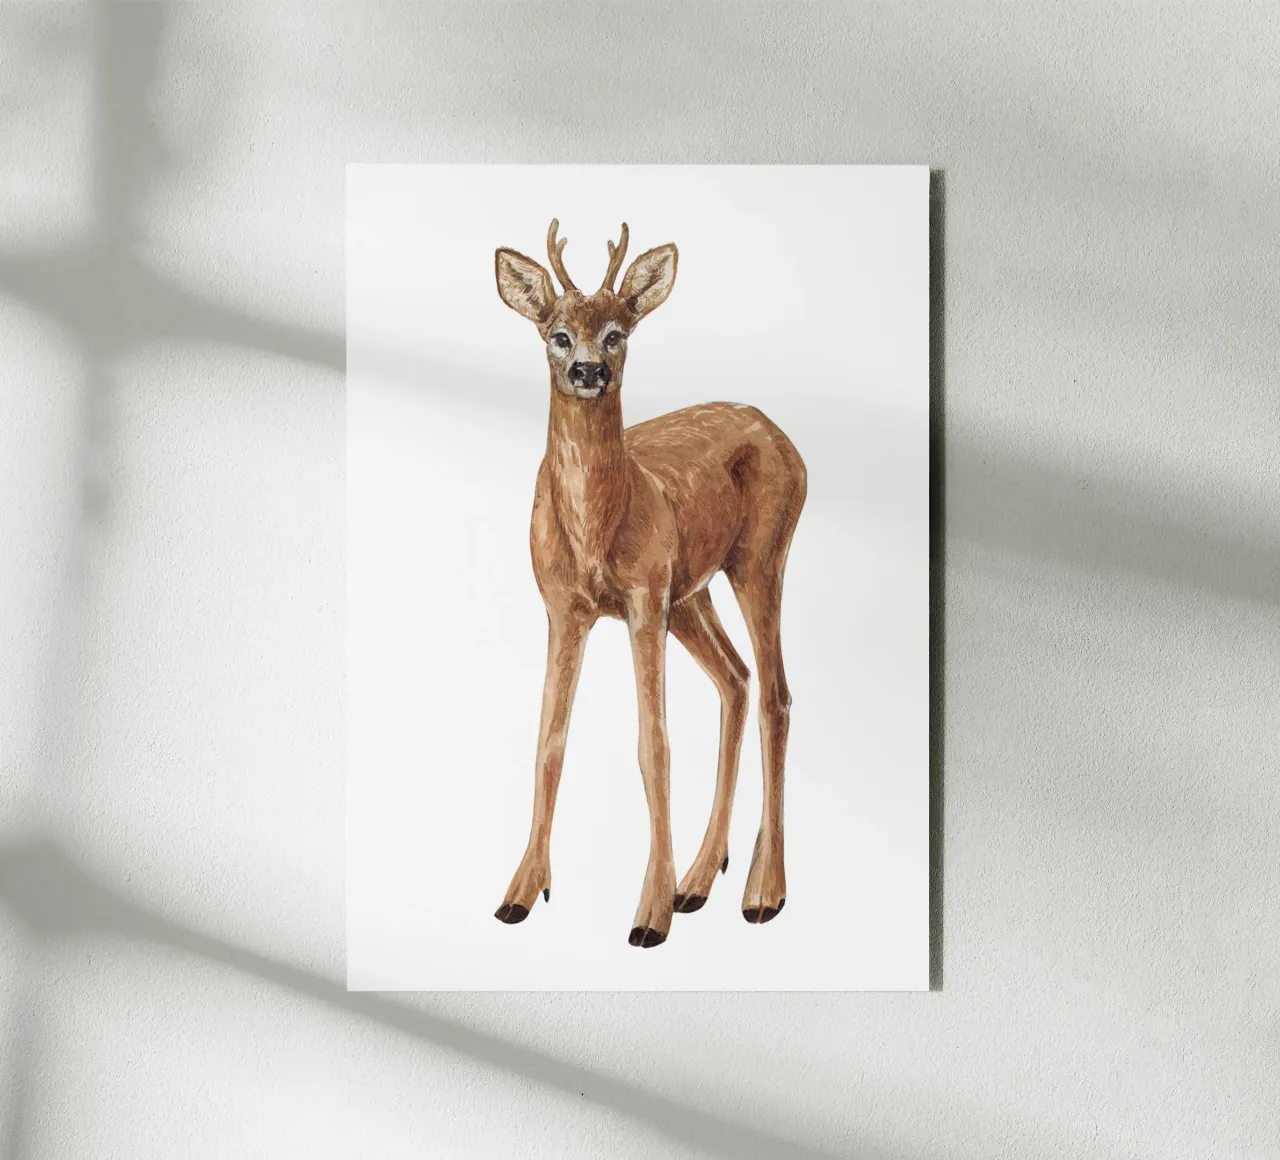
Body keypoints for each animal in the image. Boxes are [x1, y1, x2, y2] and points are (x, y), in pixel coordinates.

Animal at [492, 219, 806, 948]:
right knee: (737, 678)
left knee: (775, 694)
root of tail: (784, 438)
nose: (589, 370)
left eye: (617, 332)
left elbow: (652, 746)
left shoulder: (641, 599)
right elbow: (549, 743)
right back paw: (700, 879)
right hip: (692, 592)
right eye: (556, 333)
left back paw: (761, 893)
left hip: (758, 560)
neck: (596, 530)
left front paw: (648, 915)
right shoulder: (563, 608)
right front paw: (521, 892)